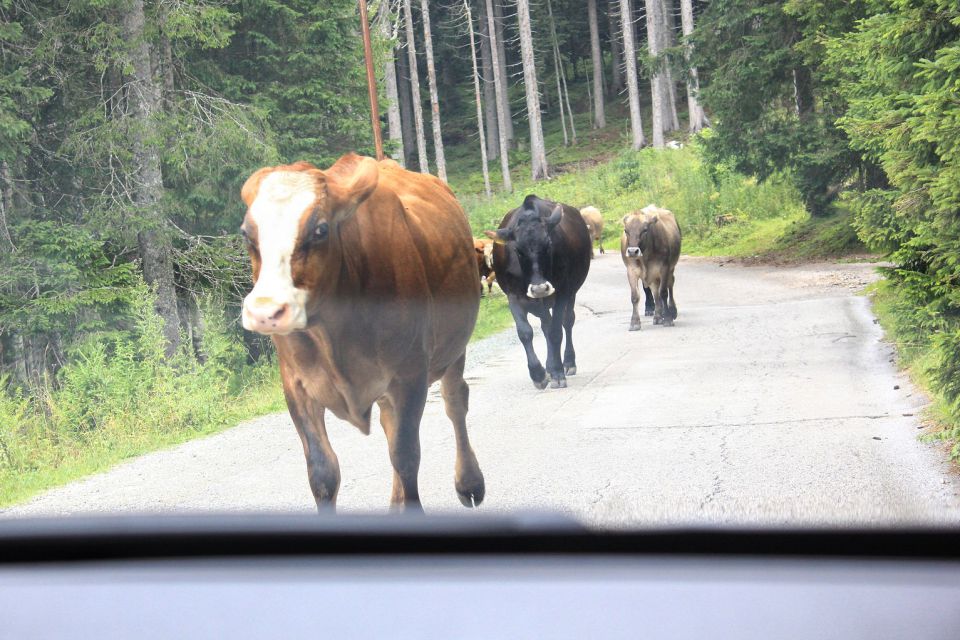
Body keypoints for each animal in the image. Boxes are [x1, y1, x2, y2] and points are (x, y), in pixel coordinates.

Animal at [237, 155, 484, 516]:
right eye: (247, 234)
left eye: (320, 229)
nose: (265, 312)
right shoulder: (296, 384)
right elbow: (323, 472)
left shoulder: (410, 375)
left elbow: (405, 456)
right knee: (390, 424)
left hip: (453, 350)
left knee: (455, 402)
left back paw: (469, 483)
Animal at [488, 192, 592, 388]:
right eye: (518, 250)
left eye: (548, 244)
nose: (539, 288)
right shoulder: (513, 296)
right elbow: (525, 332)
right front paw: (538, 374)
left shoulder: (562, 292)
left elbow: (555, 332)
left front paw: (557, 372)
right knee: (546, 325)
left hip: (571, 292)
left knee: (567, 321)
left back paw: (567, 362)